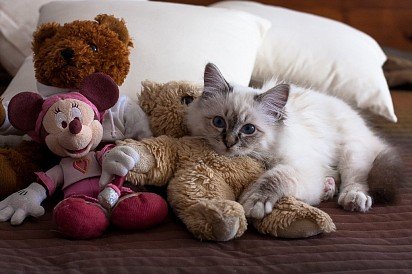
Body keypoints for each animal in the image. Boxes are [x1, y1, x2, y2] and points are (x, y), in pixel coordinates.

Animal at [187, 62, 406, 218]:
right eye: (218, 122)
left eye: (249, 129)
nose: (229, 142)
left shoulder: (302, 168)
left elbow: (274, 177)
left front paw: (253, 203)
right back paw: (328, 188)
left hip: (351, 152)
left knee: (356, 180)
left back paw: (352, 199)